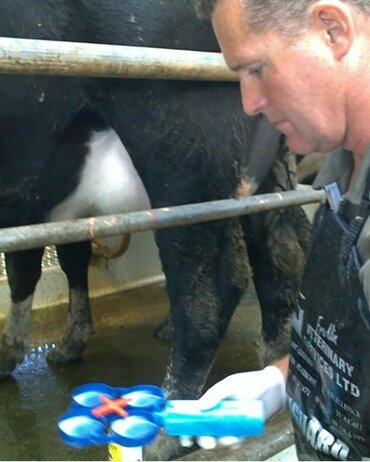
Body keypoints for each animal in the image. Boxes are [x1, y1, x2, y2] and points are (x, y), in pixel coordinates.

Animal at [0, 1, 312, 458]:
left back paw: (165, 435)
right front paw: (69, 343)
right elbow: (69, 260)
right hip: (263, 172)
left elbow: (23, 267)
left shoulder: (25, 196)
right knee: (283, 255)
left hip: (181, 152)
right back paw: (271, 367)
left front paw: (8, 353)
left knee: (211, 292)